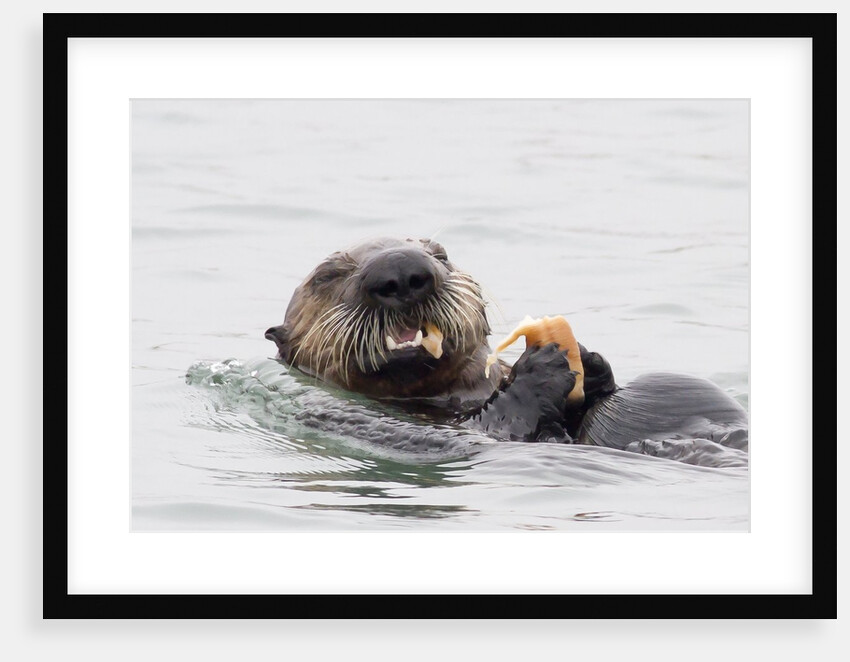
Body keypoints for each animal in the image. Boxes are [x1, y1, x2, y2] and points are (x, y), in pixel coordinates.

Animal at [265, 237, 747, 449]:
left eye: (440, 254)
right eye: (327, 276)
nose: (400, 270)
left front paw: (590, 364)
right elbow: (505, 420)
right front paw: (540, 367)